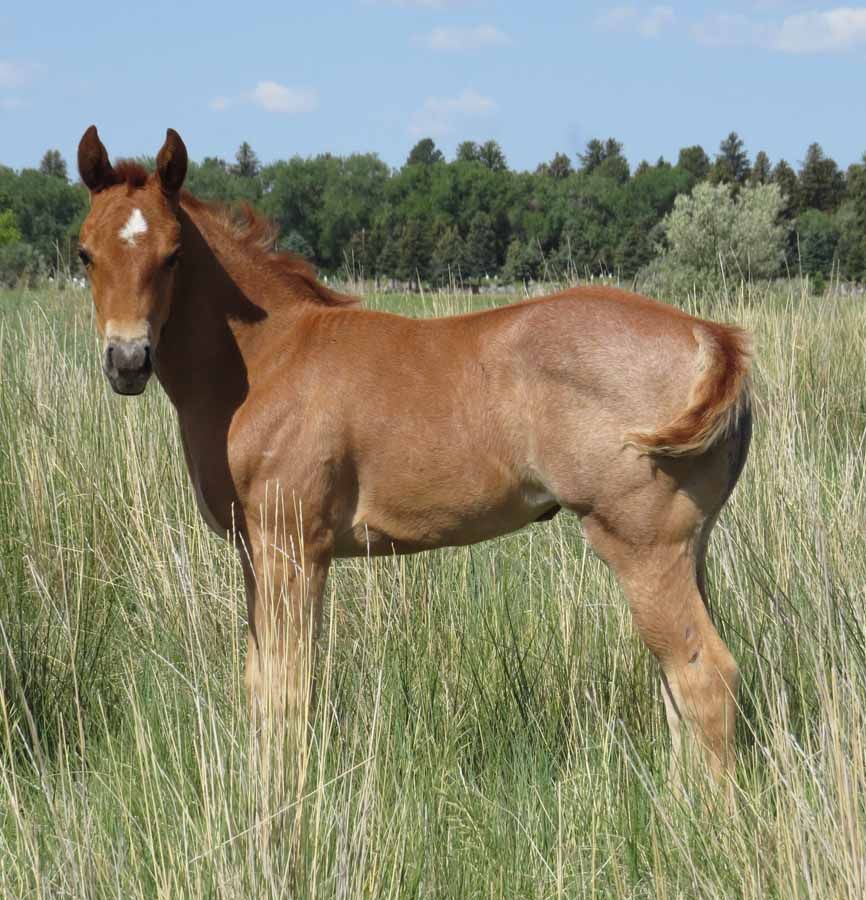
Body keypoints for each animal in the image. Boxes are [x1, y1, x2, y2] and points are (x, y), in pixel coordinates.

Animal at [76, 125, 752, 787]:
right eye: (85, 253)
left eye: (174, 253)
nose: (127, 361)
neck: (269, 358)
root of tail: (709, 337)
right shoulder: (254, 552)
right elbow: (260, 683)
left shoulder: (293, 548)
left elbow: (290, 688)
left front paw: (282, 799)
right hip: (687, 546)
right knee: (676, 682)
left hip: (639, 543)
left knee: (704, 674)